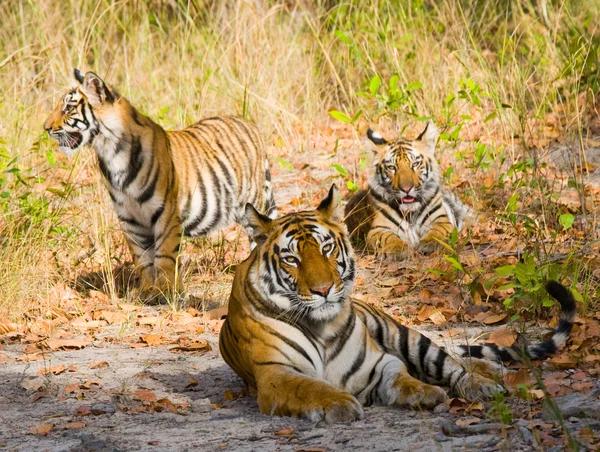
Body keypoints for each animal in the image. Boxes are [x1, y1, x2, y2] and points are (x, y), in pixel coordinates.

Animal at [219, 185, 576, 422]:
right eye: (291, 259)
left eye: (326, 249)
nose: (323, 290)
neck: (321, 327)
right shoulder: (275, 374)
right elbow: (310, 387)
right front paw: (339, 404)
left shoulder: (379, 361)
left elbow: (403, 377)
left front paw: (426, 393)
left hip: (403, 334)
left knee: (450, 360)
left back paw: (486, 381)